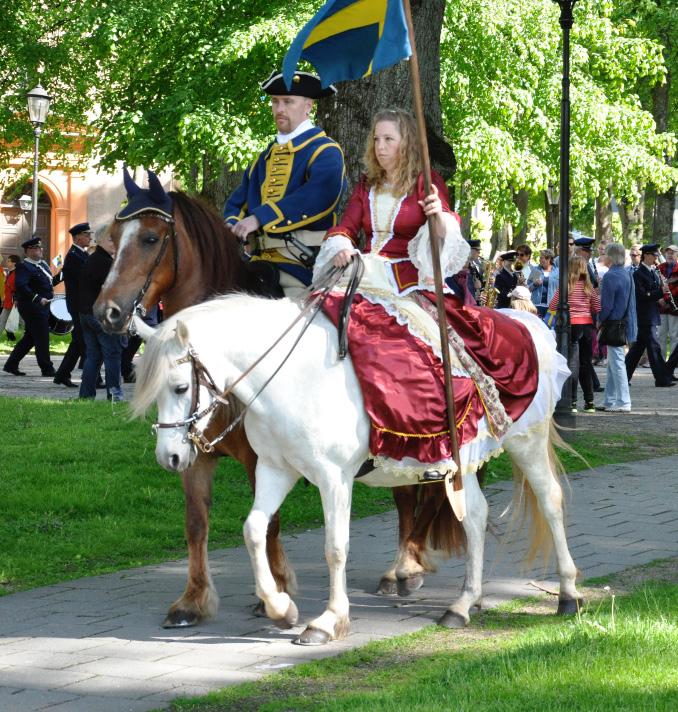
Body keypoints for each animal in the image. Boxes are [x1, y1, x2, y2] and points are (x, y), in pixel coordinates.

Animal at [95, 186, 460, 624]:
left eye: (150, 238)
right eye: (114, 239)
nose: (106, 312)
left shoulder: (260, 457)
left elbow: (269, 524)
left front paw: (278, 588)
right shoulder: (194, 453)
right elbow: (196, 522)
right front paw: (193, 600)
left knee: (429, 492)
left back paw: (407, 566)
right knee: (406, 495)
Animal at [133, 294, 584, 644]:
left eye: (180, 387)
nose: (169, 458)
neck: (292, 379)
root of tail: (529, 323)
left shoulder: (334, 479)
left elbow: (335, 548)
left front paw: (329, 621)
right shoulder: (276, 470)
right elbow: (254, 530)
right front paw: (280, 607)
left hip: (525, 442)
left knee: (550, 500)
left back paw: (568, 593)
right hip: (464, 460)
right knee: (475, 517)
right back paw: (462, 604)